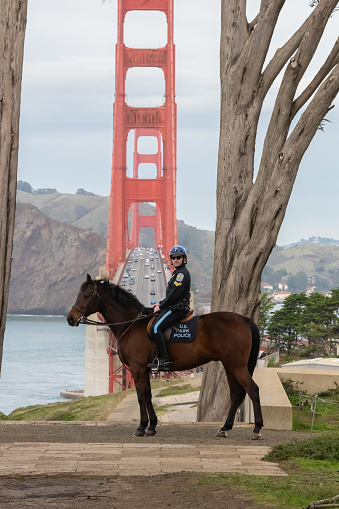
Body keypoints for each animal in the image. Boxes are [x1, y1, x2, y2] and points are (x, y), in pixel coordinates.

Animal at [67, 274, 264, 436]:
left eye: (86, 296)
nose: (70, 318)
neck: (132, 325)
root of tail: (245, 319)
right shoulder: (145, 369)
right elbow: (147, 395)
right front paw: (152, 426)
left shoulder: (137, 368)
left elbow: (140, 396)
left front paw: (141, 427)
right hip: (229, 366)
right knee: (236, 394)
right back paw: (224, 428)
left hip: (237, 365)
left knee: (253, 389)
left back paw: (256, 428)